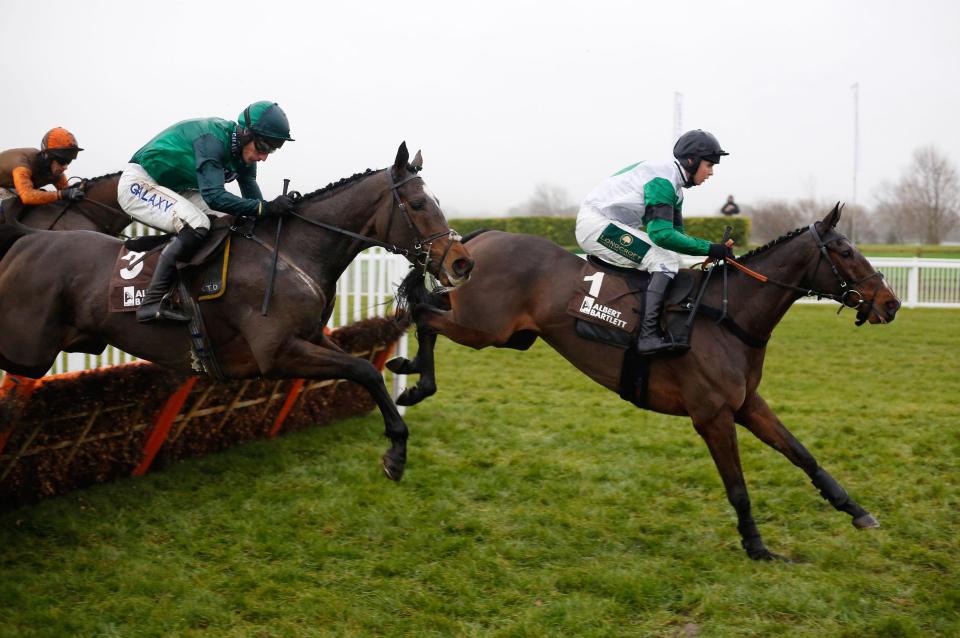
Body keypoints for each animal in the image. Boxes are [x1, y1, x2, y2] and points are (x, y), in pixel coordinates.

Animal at [0, 144, 472, 480]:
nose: (461, 263)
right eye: (418, 205)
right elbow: (365, 371)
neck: (294, 250)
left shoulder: (309, 338)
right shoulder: (275, 353)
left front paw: (410, 394)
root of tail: (30, 240)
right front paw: (397, 449)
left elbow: (369, 366)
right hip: (29, 349)